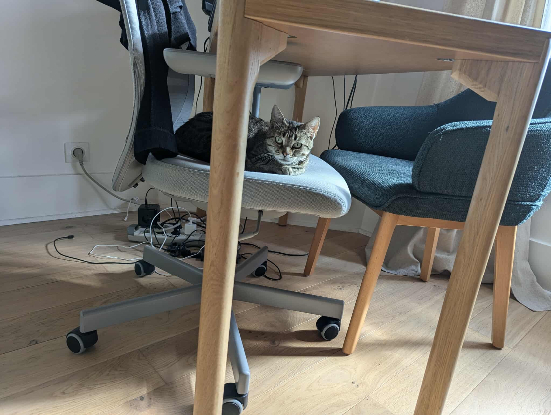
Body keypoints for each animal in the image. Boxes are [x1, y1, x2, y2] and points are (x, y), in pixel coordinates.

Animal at [175, 105, 320, 175]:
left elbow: (301, 167)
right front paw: (285, 167)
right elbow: (271, 161)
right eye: (278, 139)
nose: (285, 154)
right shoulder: (254, 156)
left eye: (297, 145)